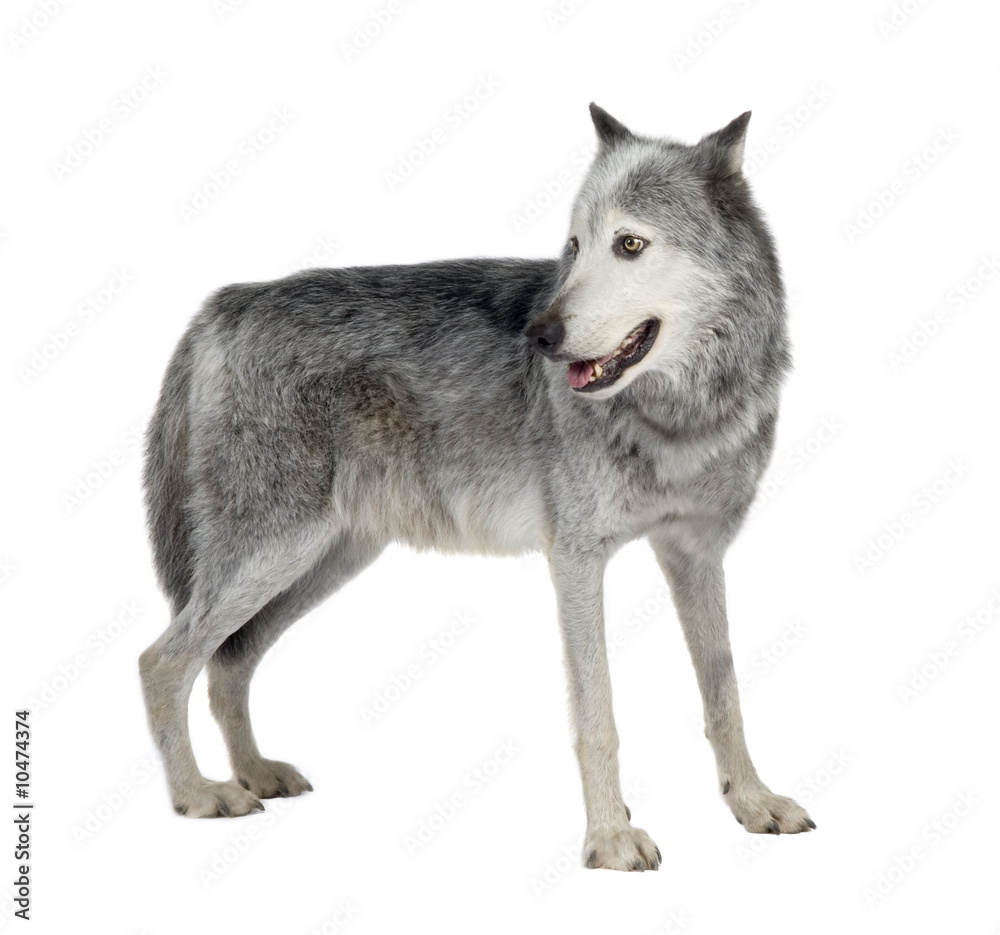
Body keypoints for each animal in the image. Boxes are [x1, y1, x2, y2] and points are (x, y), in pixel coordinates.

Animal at [139, 103, 815, 871]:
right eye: (574, 247)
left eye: (630, 245)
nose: (540, 333)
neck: (677, 416)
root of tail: (222, 305)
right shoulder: (575, 559)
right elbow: (599, 716)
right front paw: (610, 839)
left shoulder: (697, 555)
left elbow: (725, 695)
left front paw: (752, 803)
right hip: (273, 557)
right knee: (163, 661)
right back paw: (199, 795)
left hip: (319, 563)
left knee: (229, 663)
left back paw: (254, 773)